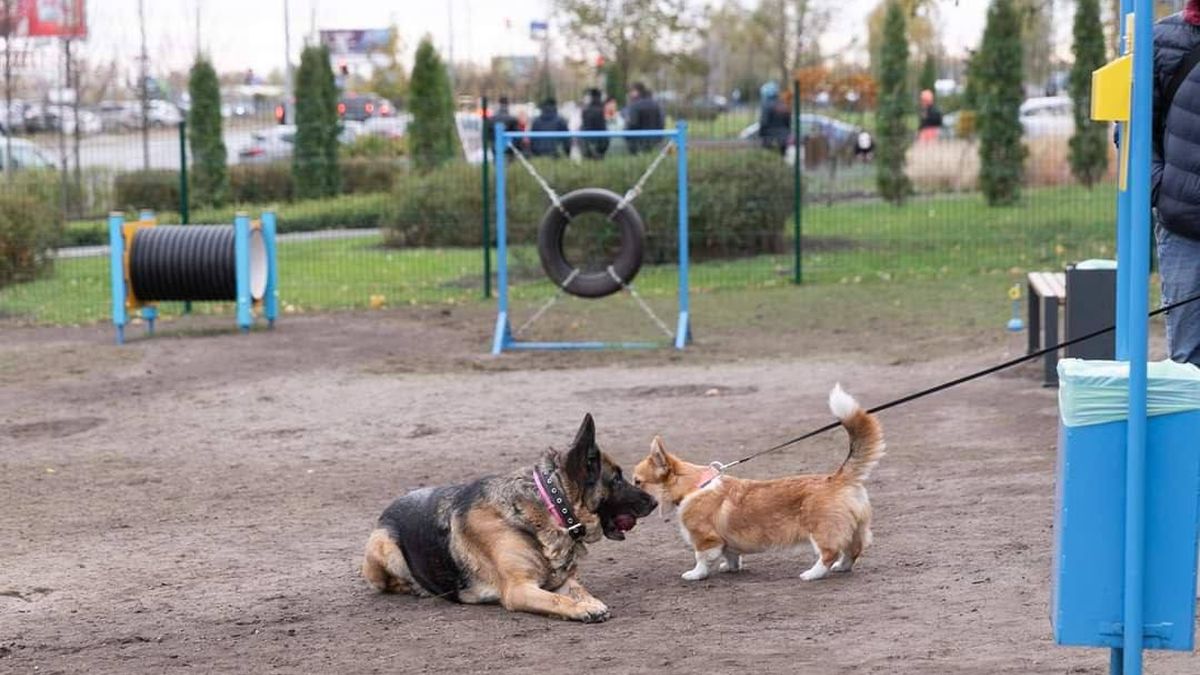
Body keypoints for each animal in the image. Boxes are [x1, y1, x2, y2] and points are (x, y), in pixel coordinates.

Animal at [360, 413, 657, 624]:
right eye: (616, 479)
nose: (654, 502)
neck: (550, 507)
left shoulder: (563, 580)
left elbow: (580, 590)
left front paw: (589, 602)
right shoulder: (519, 589)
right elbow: (557, 601)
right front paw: (581, 609)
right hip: (384, 545)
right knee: (389, 583)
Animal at [638, 384, 883, 578]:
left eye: (638, 481)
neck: (694, 486)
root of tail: (838, 478)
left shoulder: (705, 540)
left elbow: (702, 559)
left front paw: (694, 574)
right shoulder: (726, 544)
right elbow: (732, 556)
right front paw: (730, 568)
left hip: (821, 531)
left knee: (829, 553)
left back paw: (811, 574)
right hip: (855, 529)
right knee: (853, 551)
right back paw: (841, 567)